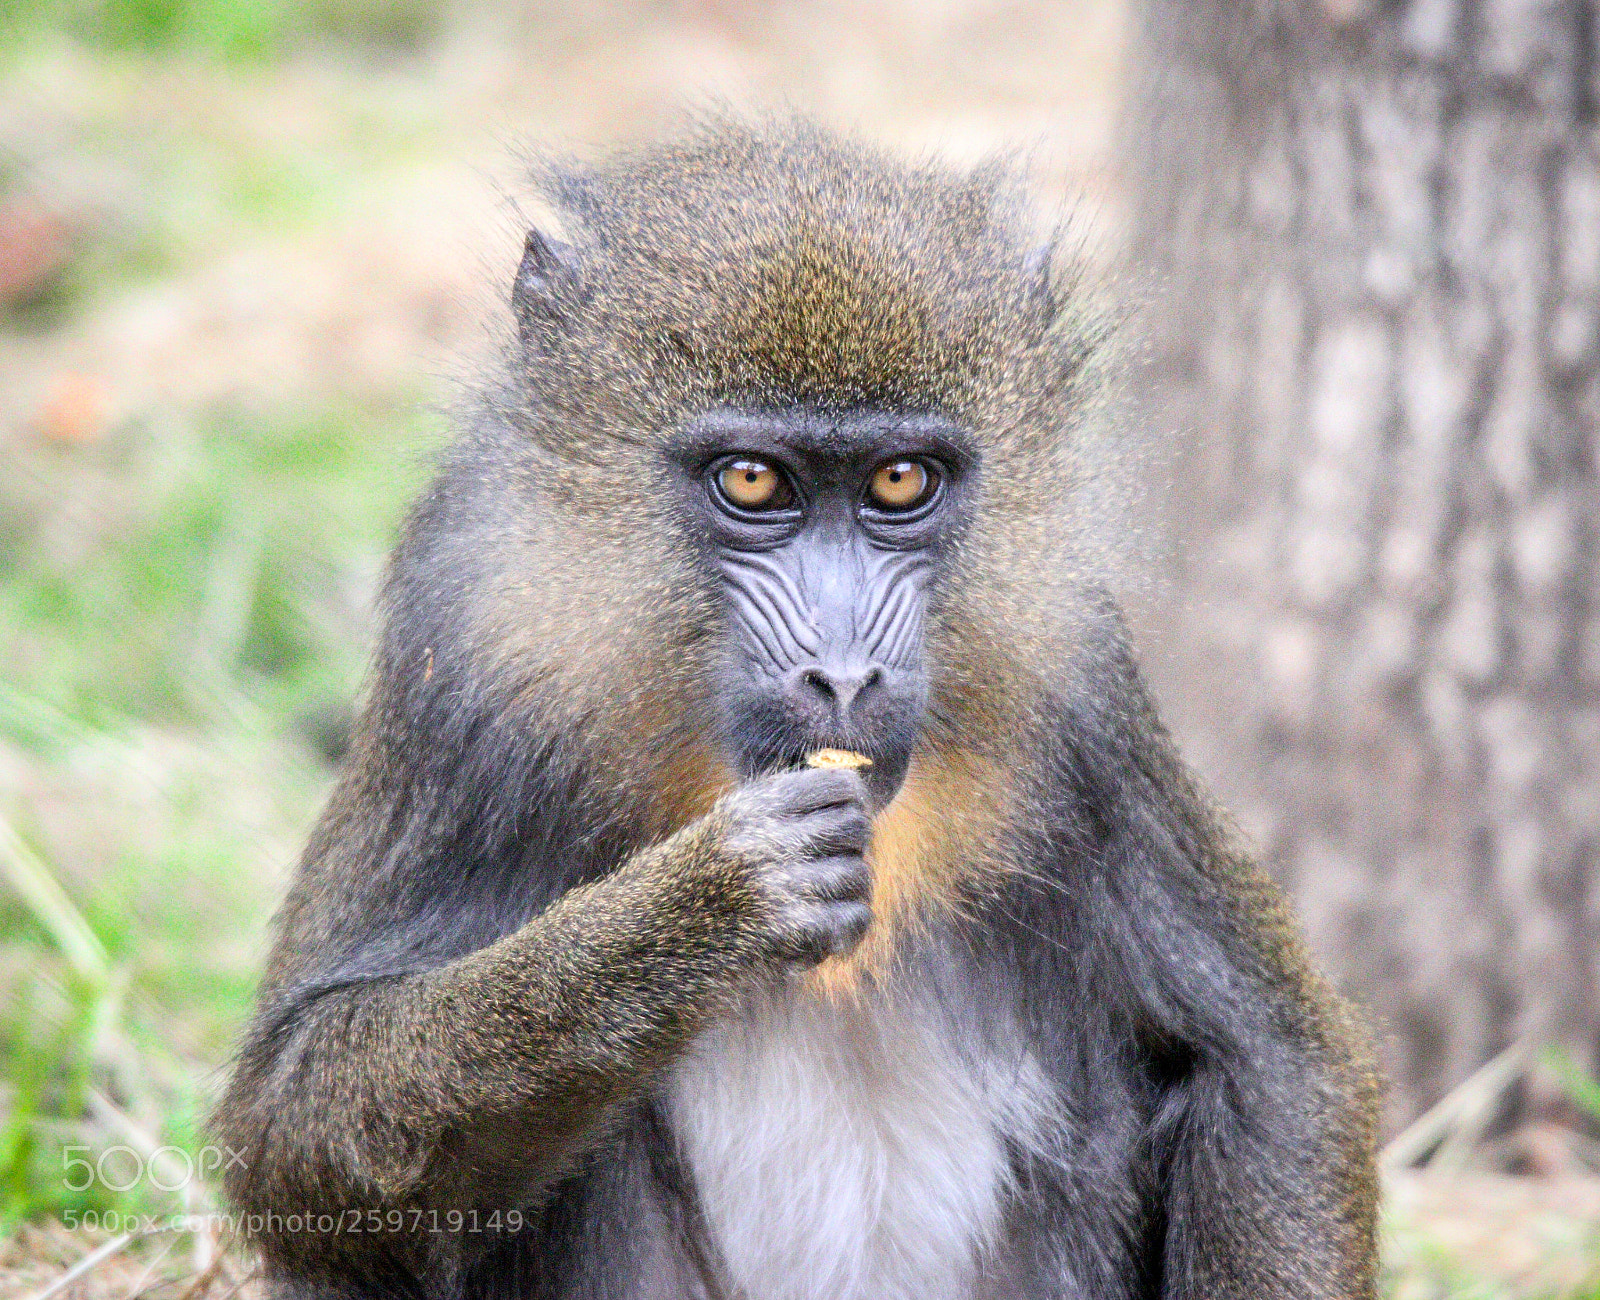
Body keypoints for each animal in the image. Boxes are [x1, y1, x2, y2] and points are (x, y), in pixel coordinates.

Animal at [213, 116, 1381, 1300]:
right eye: (754, 483)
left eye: (901, 481)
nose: (844, 675)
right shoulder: (462, 657)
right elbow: (291, 1121)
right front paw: (704, 905)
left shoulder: (1085, 693)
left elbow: (1272, 1058)